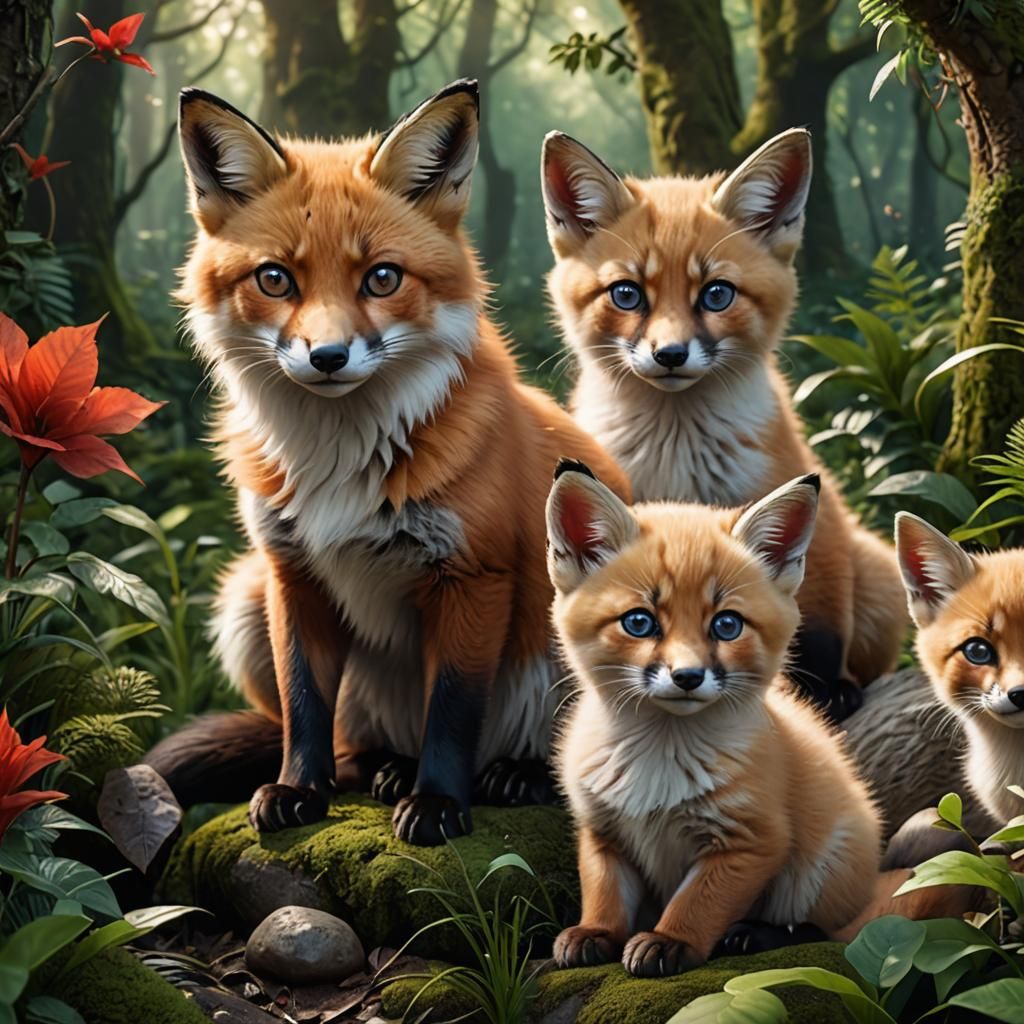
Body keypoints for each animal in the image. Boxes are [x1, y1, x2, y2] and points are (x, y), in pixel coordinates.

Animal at [144, 81, 629, 846]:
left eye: (381, 278)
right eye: (275, 279)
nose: (327, 356)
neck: (341, 462)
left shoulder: (473, 574)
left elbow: (452, 710)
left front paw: (438, 805)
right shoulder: (290, 572)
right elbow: (304, 703)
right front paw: (298, 790)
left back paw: (512, 775)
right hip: (244, 601)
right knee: (348, 744)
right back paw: (383, 767)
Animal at [540, 128, 907, 722]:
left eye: (716, 294)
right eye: (626, 293)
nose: (669, 354)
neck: (676, 454)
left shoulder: (805, 509)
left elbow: (817, 627)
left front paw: (823, 695)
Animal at [545, 465, 970, 975]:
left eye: (726, 625)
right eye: (639, 623)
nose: (687, 677)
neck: (658, 762)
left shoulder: (751, 841)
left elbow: (696, 902)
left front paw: (670, 940)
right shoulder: (603, 831)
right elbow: (604, 893)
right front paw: (596, 933)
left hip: (818, 870)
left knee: (827, 931)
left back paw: (756, 934)